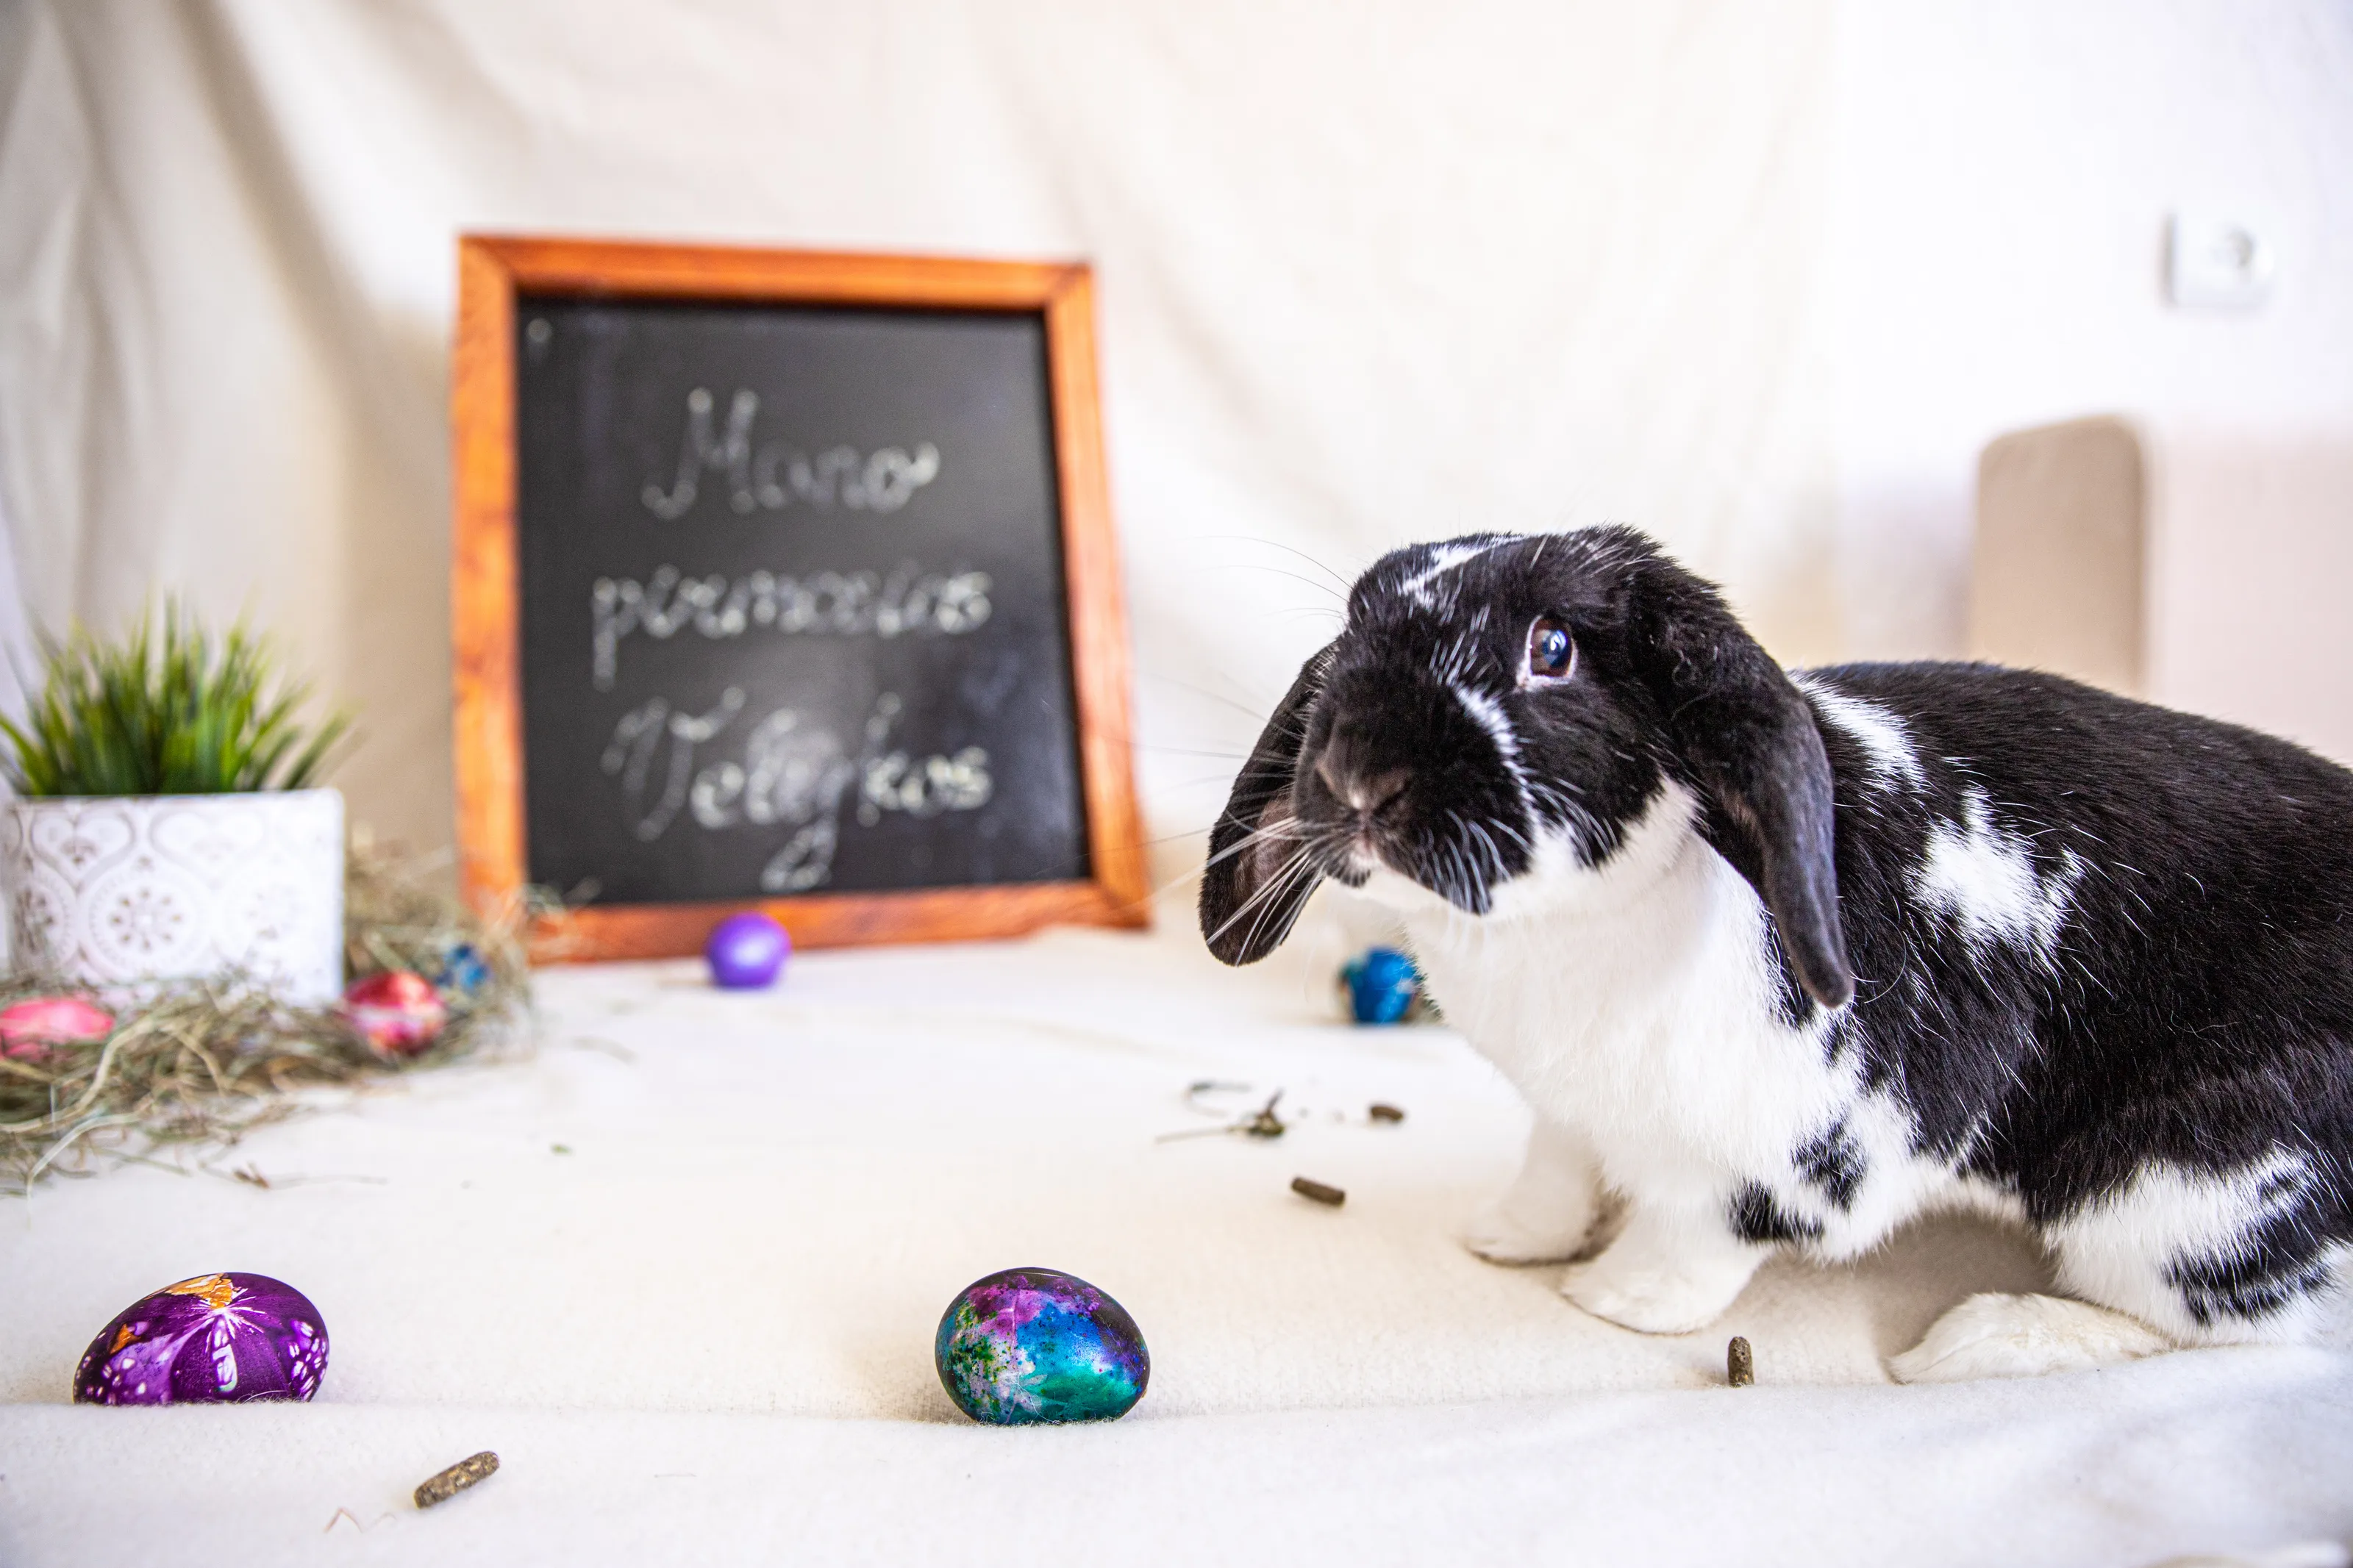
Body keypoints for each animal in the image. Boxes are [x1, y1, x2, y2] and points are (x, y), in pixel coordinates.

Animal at [1200, 526, 2353, 1381]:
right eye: (1351, 630)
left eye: (1553, 649)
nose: (1353, 775)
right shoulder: (1565, 1110)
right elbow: (1556, 1165)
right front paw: (1508, 1237)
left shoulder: (1789, 1144)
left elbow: (1698, 1231)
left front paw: (1616, 1298)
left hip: (2181, 1195)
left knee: (2231, 1329)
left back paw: (1974, 1344)